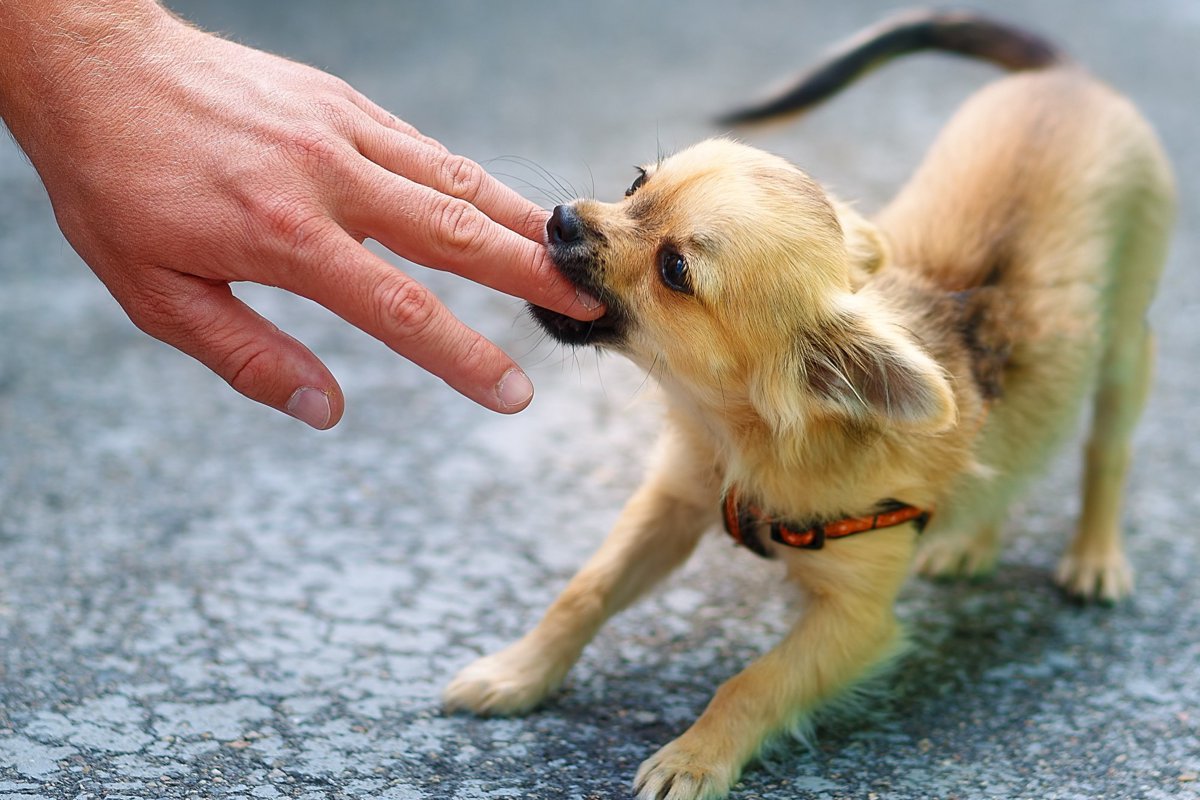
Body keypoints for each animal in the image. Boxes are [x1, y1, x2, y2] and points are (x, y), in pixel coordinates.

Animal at [441, 7, 1171, 800]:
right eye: (637, 183)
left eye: (675, 269)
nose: (562, 219)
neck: (739, 436)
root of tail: (1068, 79)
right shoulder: (673, 501)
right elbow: (583, 591)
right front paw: (517, 674)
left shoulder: (855, 621)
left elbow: (754, 683)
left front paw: (695, 757)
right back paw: (972, 539)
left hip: (1125, 350)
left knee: (1106, 451)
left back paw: (1095, 556)